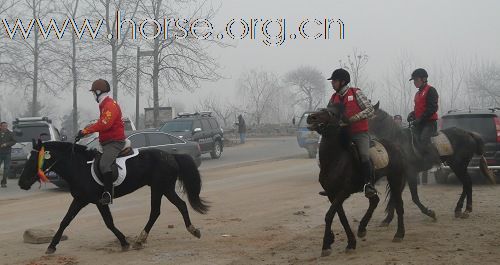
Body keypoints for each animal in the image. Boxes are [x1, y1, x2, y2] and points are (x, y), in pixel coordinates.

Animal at [18, 139, 208, 253]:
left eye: (33, 159)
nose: (21, 183)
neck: (79, 167)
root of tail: (172, 156)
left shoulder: (97, 201)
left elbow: (108, 222)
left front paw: (124, 242)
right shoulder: (81, 199)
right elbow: (65, 221)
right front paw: (51, 245)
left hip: (161, 187)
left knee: (161, 210)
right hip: (163, 188)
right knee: (171, 207)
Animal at [304, 104, 406, 256]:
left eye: (331, 113)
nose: (311, 117)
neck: (335, 160)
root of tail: (396, 146)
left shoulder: (343, 192)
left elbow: (329, 215)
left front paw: (326, 245)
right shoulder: (332, 194)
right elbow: (341, 216)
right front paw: (349, 242)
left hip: (395, 179)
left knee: (398, 204)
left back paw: (399, 234)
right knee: (374, 201)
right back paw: (362, 228)